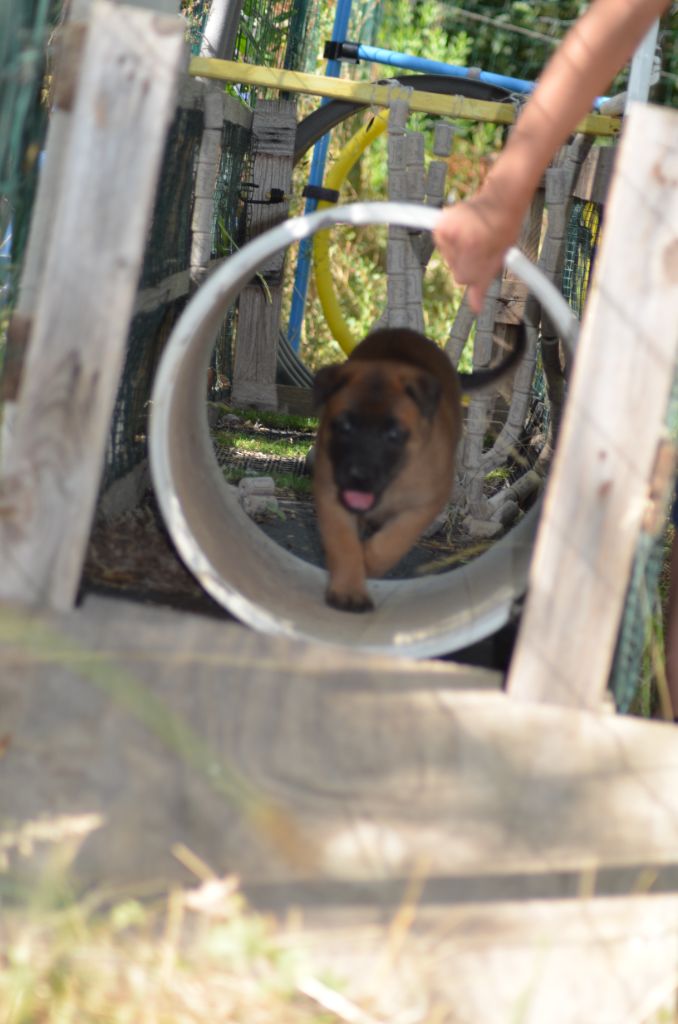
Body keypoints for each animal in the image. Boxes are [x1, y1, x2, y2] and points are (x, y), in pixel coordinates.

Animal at [313, 325, 526, 612]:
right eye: (344, 426)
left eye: (393, 434)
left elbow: (392, 541)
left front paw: (370, 562)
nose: (358, 476)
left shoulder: (424, 505)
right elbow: (343, 543)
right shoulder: (331, 495)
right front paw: (348, 588)